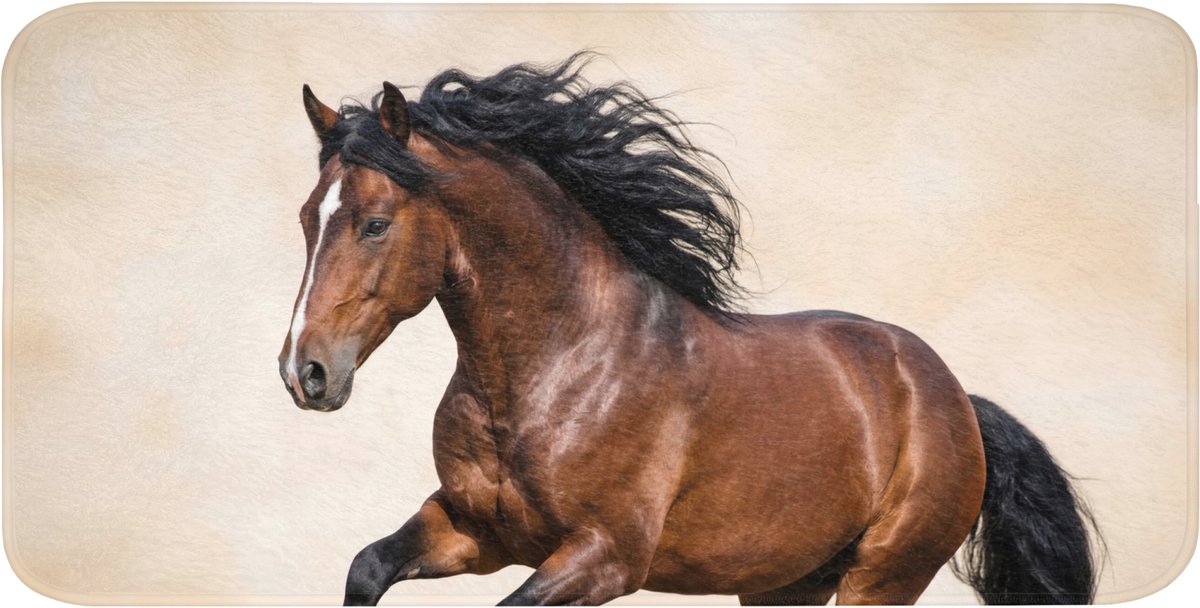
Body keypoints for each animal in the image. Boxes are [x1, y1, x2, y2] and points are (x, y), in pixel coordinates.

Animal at [278, 55, 1098, 605]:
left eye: (376, 223)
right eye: (308, 216)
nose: (304, 373)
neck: (557, 368)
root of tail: (955, 397)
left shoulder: (607, 556)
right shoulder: (476, 530)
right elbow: (367, 568)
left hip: (885, 575)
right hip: (788, 580)